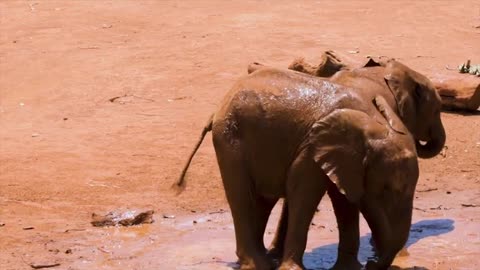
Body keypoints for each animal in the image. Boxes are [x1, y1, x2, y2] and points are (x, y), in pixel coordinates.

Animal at [174, 60, 444, 270]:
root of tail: (218, 109)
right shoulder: (311, 147)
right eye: (387, 190)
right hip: (230, 138)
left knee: (262, 199)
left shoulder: (343, 158)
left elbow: (344, 200)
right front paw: (293, 269)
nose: (372, 263)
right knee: (242, 195)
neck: (370, 122)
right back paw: (257, 264)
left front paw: (349, 268)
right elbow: (306, 192)